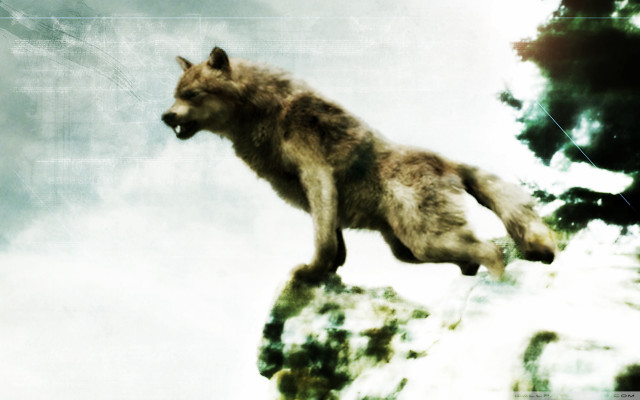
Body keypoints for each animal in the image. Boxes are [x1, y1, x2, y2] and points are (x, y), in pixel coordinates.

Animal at [162, 47, 556, 282]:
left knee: (492, 250)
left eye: (192, 95)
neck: (268, 112)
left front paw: (312, 271)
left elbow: (322, 240)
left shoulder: (317, 175)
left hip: (425, 240)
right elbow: (334, 243)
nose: (165, 116)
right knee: (477, 255)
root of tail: (447, 161)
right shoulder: (318, 194)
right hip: (406, 249)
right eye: (175, 95)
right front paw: (327, 274)